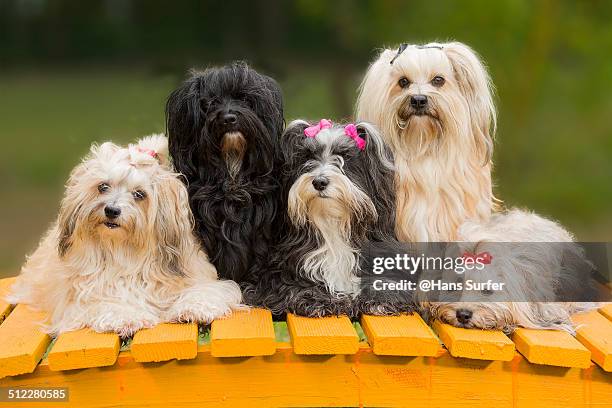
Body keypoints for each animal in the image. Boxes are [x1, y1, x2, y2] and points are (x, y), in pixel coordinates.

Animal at [7, 135, 241, 338]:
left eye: (139, 194)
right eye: (103, 187)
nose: (111, 210)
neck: (125, 251)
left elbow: (206, 291)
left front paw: (194, 307)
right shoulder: (82, 299)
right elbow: (107, 304)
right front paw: (127, 317)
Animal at [246, 119, 418, 318]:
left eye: (345, 156)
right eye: (308, 156)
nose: (319, 182)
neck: (332, 222)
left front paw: (381, 299)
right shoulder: (280, 269)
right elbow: (294, 286)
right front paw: (318, 300)